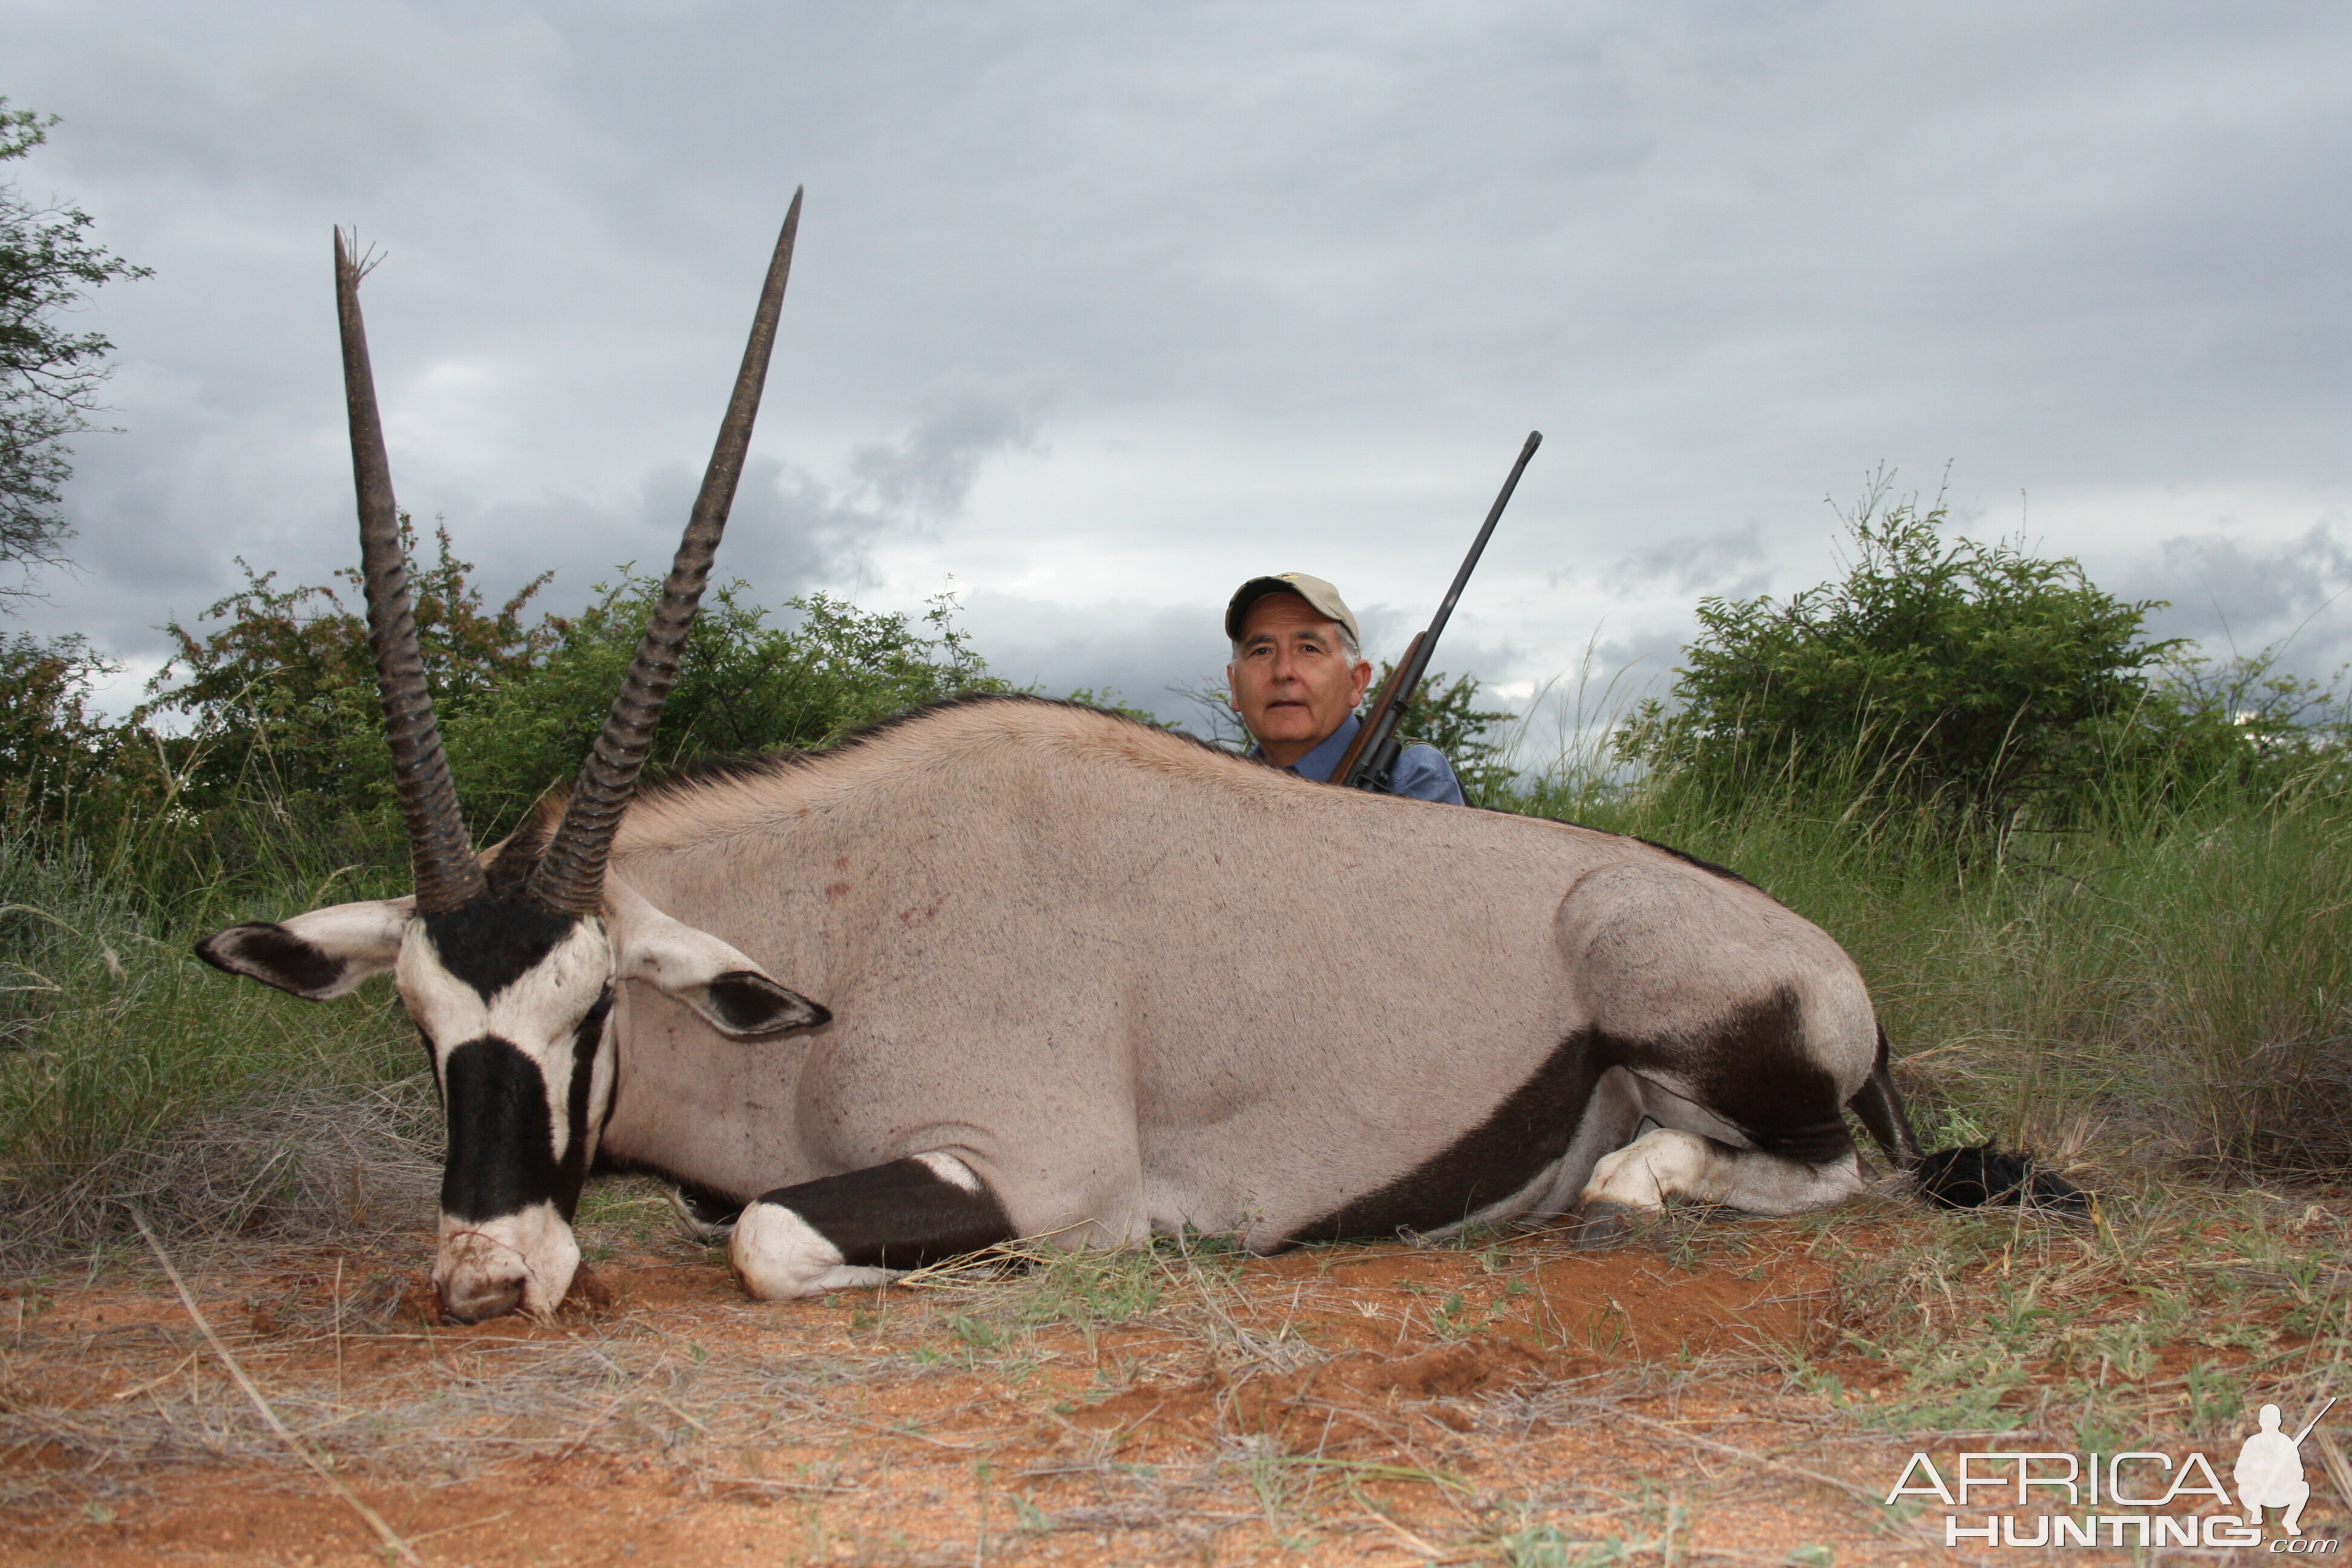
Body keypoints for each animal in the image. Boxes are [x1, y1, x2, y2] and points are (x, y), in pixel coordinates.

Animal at [207, 196, 2079, 1325]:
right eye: (419, 1021)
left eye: (590, 1009)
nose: (481, 1272)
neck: (844, 914)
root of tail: (1822, 952)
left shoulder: (1036, 1172)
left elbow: (765, 1232)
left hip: (1681, 1008)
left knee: (1816, 1168)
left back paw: (1630, 1183)